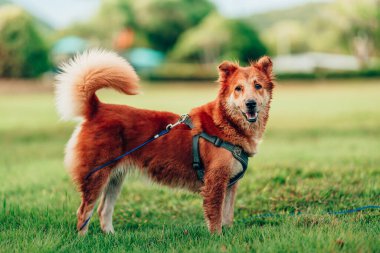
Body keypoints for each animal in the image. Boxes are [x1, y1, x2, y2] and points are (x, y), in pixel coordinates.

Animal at [54, 49, 274, 235]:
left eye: (258, 86)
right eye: (238, 89)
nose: (251, 104)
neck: (226, 123)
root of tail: (97, 108)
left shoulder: (230, 185)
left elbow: (227, 216)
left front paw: (227, 235)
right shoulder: (215, 183)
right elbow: (215, 217)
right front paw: (218, 239)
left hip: (114, 178)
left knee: (103, 210)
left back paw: (111, 237)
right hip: (96, 176)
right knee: (84, 213)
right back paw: (84, 239)